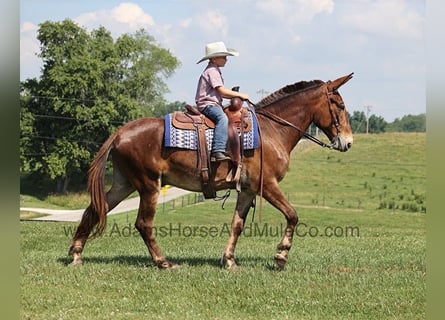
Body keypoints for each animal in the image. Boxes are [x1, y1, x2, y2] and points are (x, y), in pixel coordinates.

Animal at [67, 73, 354, 270]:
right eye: (339, 105)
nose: (348, 142)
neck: (271, 131)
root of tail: (120, 132)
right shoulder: (268, 185)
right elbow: (293, 215)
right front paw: (281, 255)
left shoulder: (248, 190)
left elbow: (237, 224)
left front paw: (229, 260)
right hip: (148, 185)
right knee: (143, 224)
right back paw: (163, 261)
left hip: (124, 183)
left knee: (94, 210)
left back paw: (76, 254)